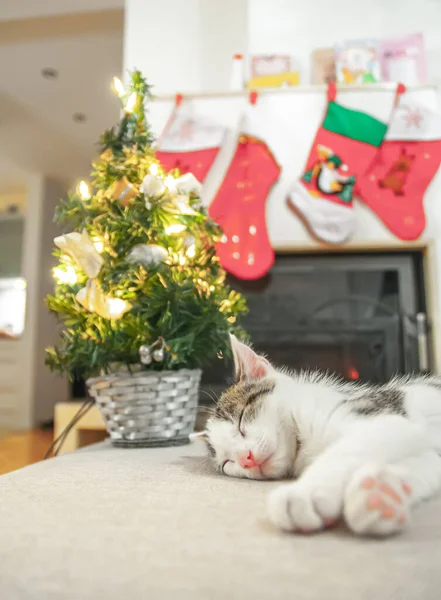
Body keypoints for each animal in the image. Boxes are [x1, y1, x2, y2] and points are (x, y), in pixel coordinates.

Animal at [193, 336, 441, 536]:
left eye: (242, 420)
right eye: (227, 463)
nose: (247, 459)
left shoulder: (386, 418)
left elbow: (347, 450)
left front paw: (305, 492)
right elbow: (426, 465)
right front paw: (383, 494)